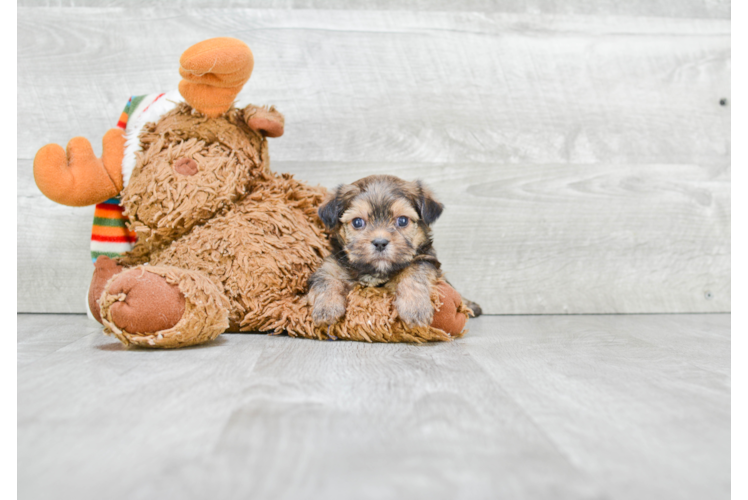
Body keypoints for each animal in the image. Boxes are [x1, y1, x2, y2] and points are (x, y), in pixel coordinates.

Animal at [306, 174, 482, 330]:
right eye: (357, 222)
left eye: (402, 220)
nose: (380, 242)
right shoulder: (332, 264)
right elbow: (326, 279)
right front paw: (326, 308)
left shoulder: (425, 258)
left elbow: (414, 272)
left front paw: (415, 307)